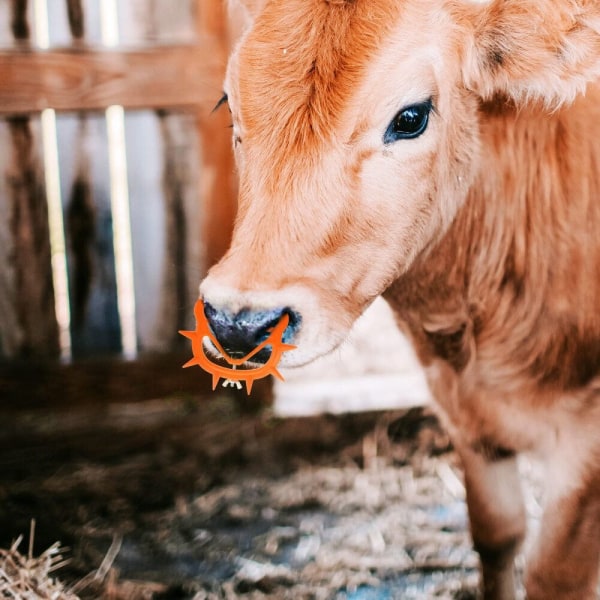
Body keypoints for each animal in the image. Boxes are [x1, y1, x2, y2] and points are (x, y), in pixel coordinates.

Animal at [200, 2, 600, 596]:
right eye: (229, 103)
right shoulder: (463, 414)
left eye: (411, 117)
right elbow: (498, 535)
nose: (239, 322)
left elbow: (555, 575)